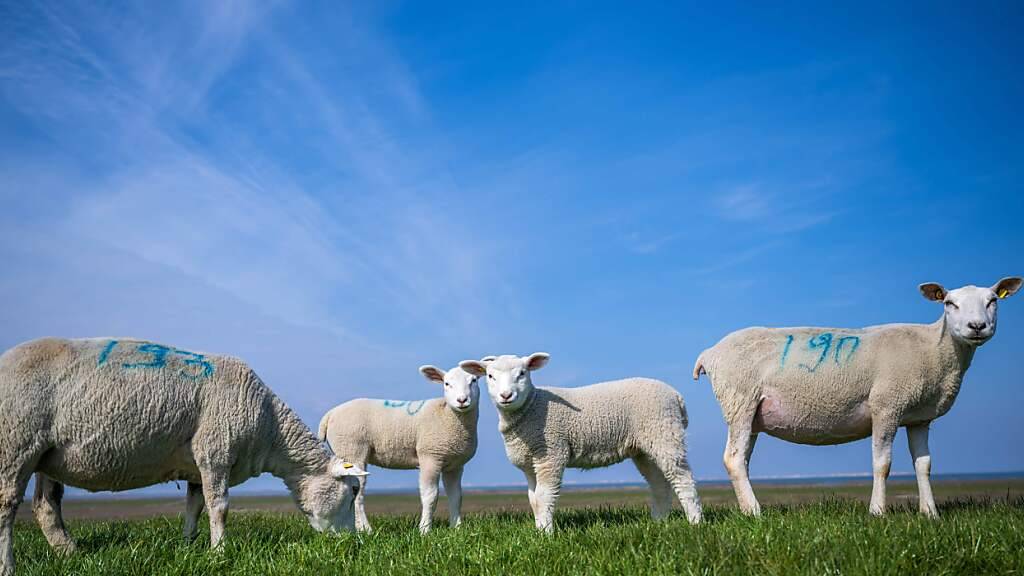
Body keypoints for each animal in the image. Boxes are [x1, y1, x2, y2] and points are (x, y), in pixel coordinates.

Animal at [0, 336, 368, 573]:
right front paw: (220, 553)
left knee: (46, 505)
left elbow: (194, 507)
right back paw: (9, 565)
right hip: (16, 442)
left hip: (48, 455)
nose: (350, 546)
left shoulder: (195, 466)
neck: (270, 428)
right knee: (7, 505)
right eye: (353, 490)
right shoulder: (215, 450)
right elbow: (220, 508)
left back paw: (72, 555)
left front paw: (189, 547)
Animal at [319, 360, 479, 532]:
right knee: (357, 494)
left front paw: (457, 529)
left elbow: (456, 497)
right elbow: (430, 496)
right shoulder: (430, 457)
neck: (446, 414)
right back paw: (366, 529)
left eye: (474, 380)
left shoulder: (455, 465)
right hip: (352, 450)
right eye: (447, 383)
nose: (462, 400)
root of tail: (331, 414)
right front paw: (425, 529)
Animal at [460, 352, 700, 532]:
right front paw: (538, 530)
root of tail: (676, 396)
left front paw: (546, 534)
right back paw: (659, 522)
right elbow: (534, 500)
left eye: (522, 374)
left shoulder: (551, 454)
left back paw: (695, 522)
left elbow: (545, 496)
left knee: (683, 478)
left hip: (664, 433)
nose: (506, 395)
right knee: (660, 483)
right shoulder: (530, 463)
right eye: (490, 376)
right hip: (645, 447)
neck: (531, 408)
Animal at [692, 274, 1019, 516]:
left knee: (742, 460)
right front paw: (877, 512)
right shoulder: (887, 404)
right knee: (734, 458)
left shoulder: (919, 418)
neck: (934, 349)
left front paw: (930, 514)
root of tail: (710, 352)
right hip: (740, 400)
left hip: (751, 413)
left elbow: (923, 464)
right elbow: (882, 464)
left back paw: (747, 509)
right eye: (950, 303)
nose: (977, 326)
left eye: (992, 301)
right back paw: (756, 512)